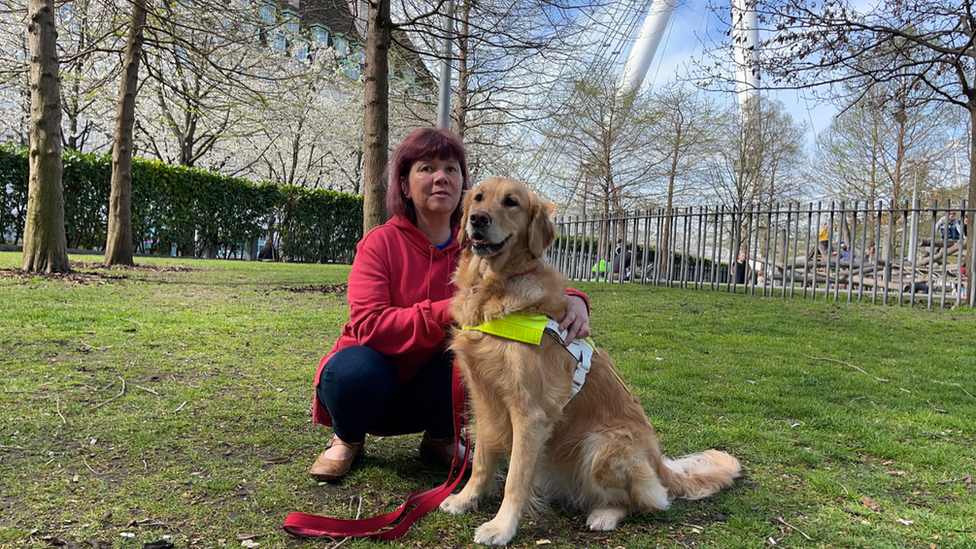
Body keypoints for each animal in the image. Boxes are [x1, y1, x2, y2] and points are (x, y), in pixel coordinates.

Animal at [442, 179, 740, 544]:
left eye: (511, 202)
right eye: (479, 198)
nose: (478, 219)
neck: (494, 288)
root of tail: (660, 466)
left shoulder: (531, 413)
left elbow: (516, 478)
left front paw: (501, 527)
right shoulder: (484, 399)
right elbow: (482, 463)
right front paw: (465, 499)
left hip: (601, 446)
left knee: (644, 502)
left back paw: (605, 515)